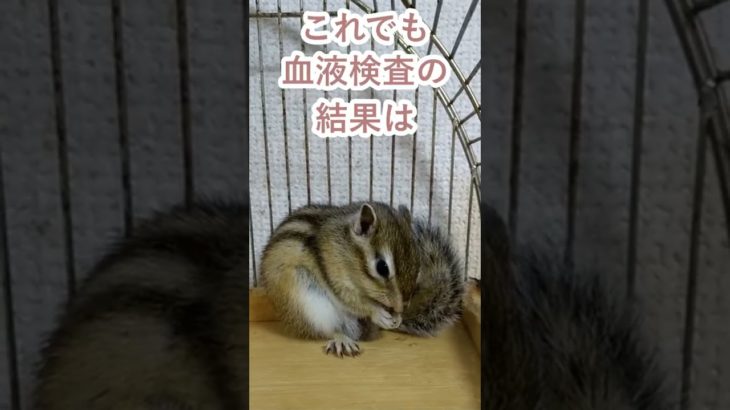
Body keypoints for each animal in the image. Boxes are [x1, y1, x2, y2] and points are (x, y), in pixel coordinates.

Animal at [260, 201, 421, 357]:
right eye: (382, 267)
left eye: (417, 264)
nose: (402, 307)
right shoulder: (336, 276)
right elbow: (354, 302)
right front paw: (377, 313)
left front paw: (397, 317)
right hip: (308, 305)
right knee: (326, 330)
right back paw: (342, 340)